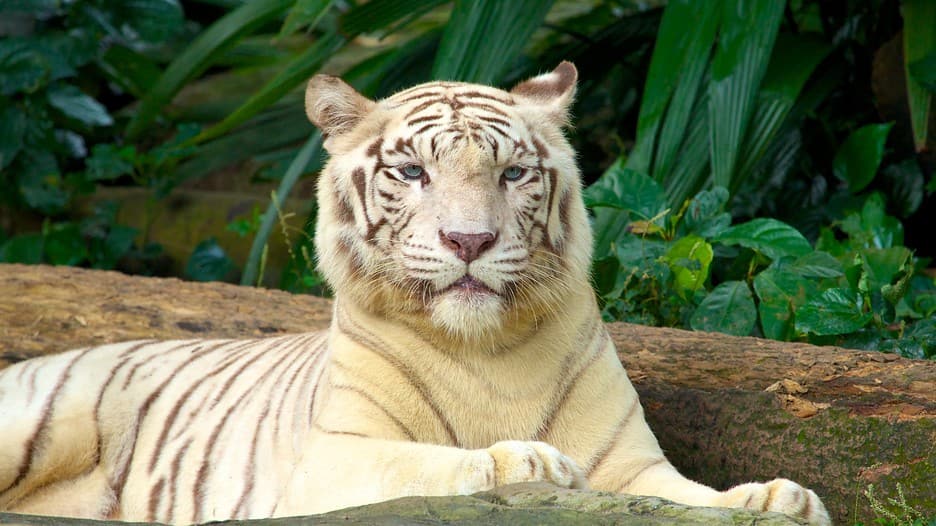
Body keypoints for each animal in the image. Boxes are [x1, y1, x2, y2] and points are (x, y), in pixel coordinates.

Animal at [0, 60, 828, 524]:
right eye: (412, 172)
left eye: (513, 173)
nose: (470, 241)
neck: (491, 352)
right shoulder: (331, 461)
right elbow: (425, 465)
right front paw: (526, 463)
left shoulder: (633, 470)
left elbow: (693, 498)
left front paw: (778, 500)